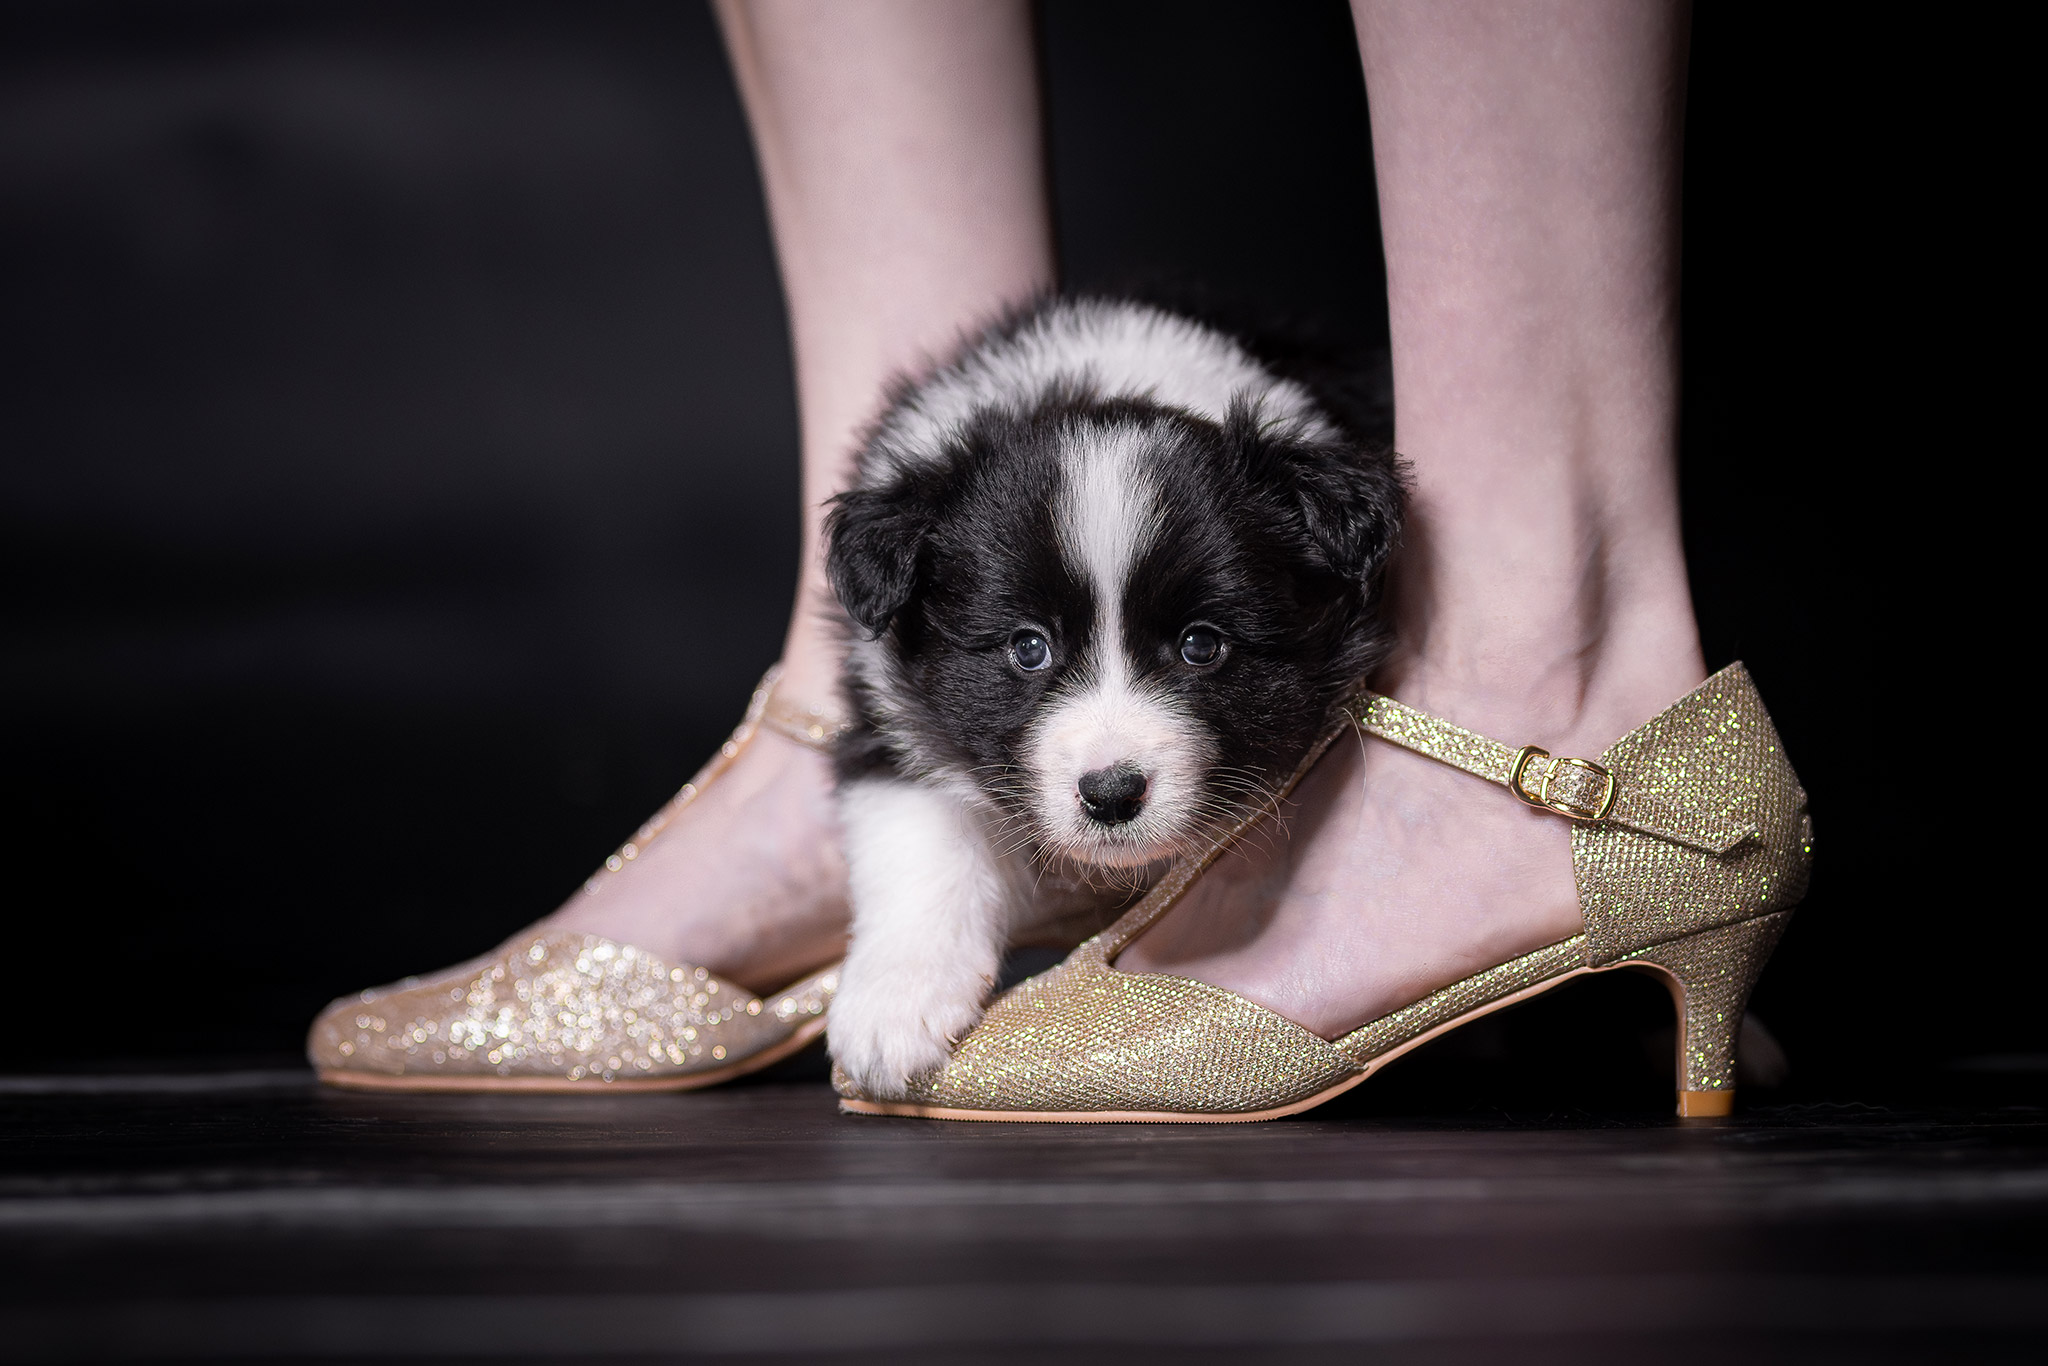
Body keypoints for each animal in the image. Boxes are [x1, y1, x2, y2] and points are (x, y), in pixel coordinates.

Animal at [823, 299, 1400, 1097]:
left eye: (1201, 645)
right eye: (1028, 647)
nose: (1111, 794)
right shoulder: (887, 703)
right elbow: (918, 833)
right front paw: (893, 1005)